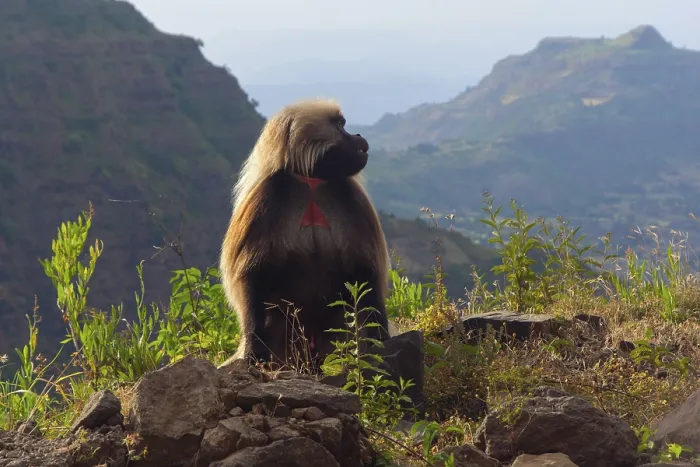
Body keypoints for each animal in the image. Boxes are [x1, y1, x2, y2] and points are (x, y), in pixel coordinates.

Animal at [218, 98, 392, 371]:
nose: (358, 136)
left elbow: (365, 272)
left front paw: (381, 340)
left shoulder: (350, 196)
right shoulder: (268, 196)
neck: (311, 181)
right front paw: (254, 350)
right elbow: (253, 273)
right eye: (339, 125)